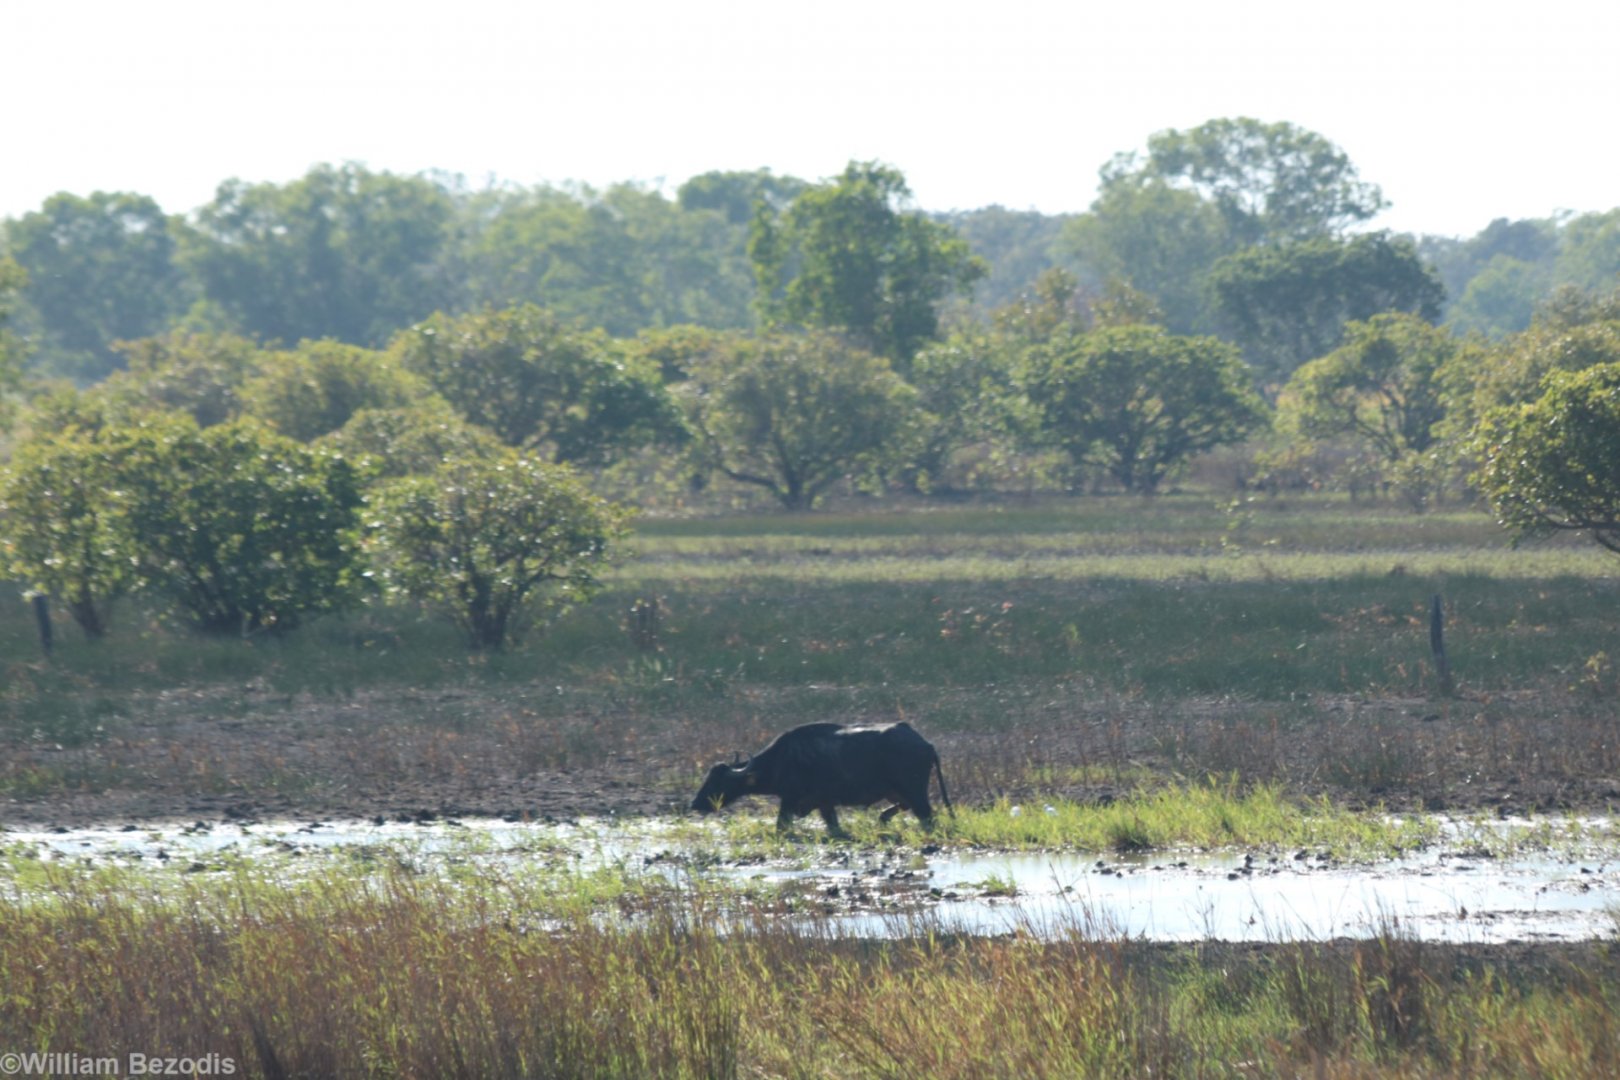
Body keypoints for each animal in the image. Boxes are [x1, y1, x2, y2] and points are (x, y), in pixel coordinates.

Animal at [690, 721, 952, 833]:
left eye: (719, 781)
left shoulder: (791, 800)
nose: (695, 803)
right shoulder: (825, 805)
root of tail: (926, 744)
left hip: (915, 793)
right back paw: (883, 818)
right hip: (897, 793)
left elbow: (781, 825)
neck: (783, 759)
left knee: (926, 817)